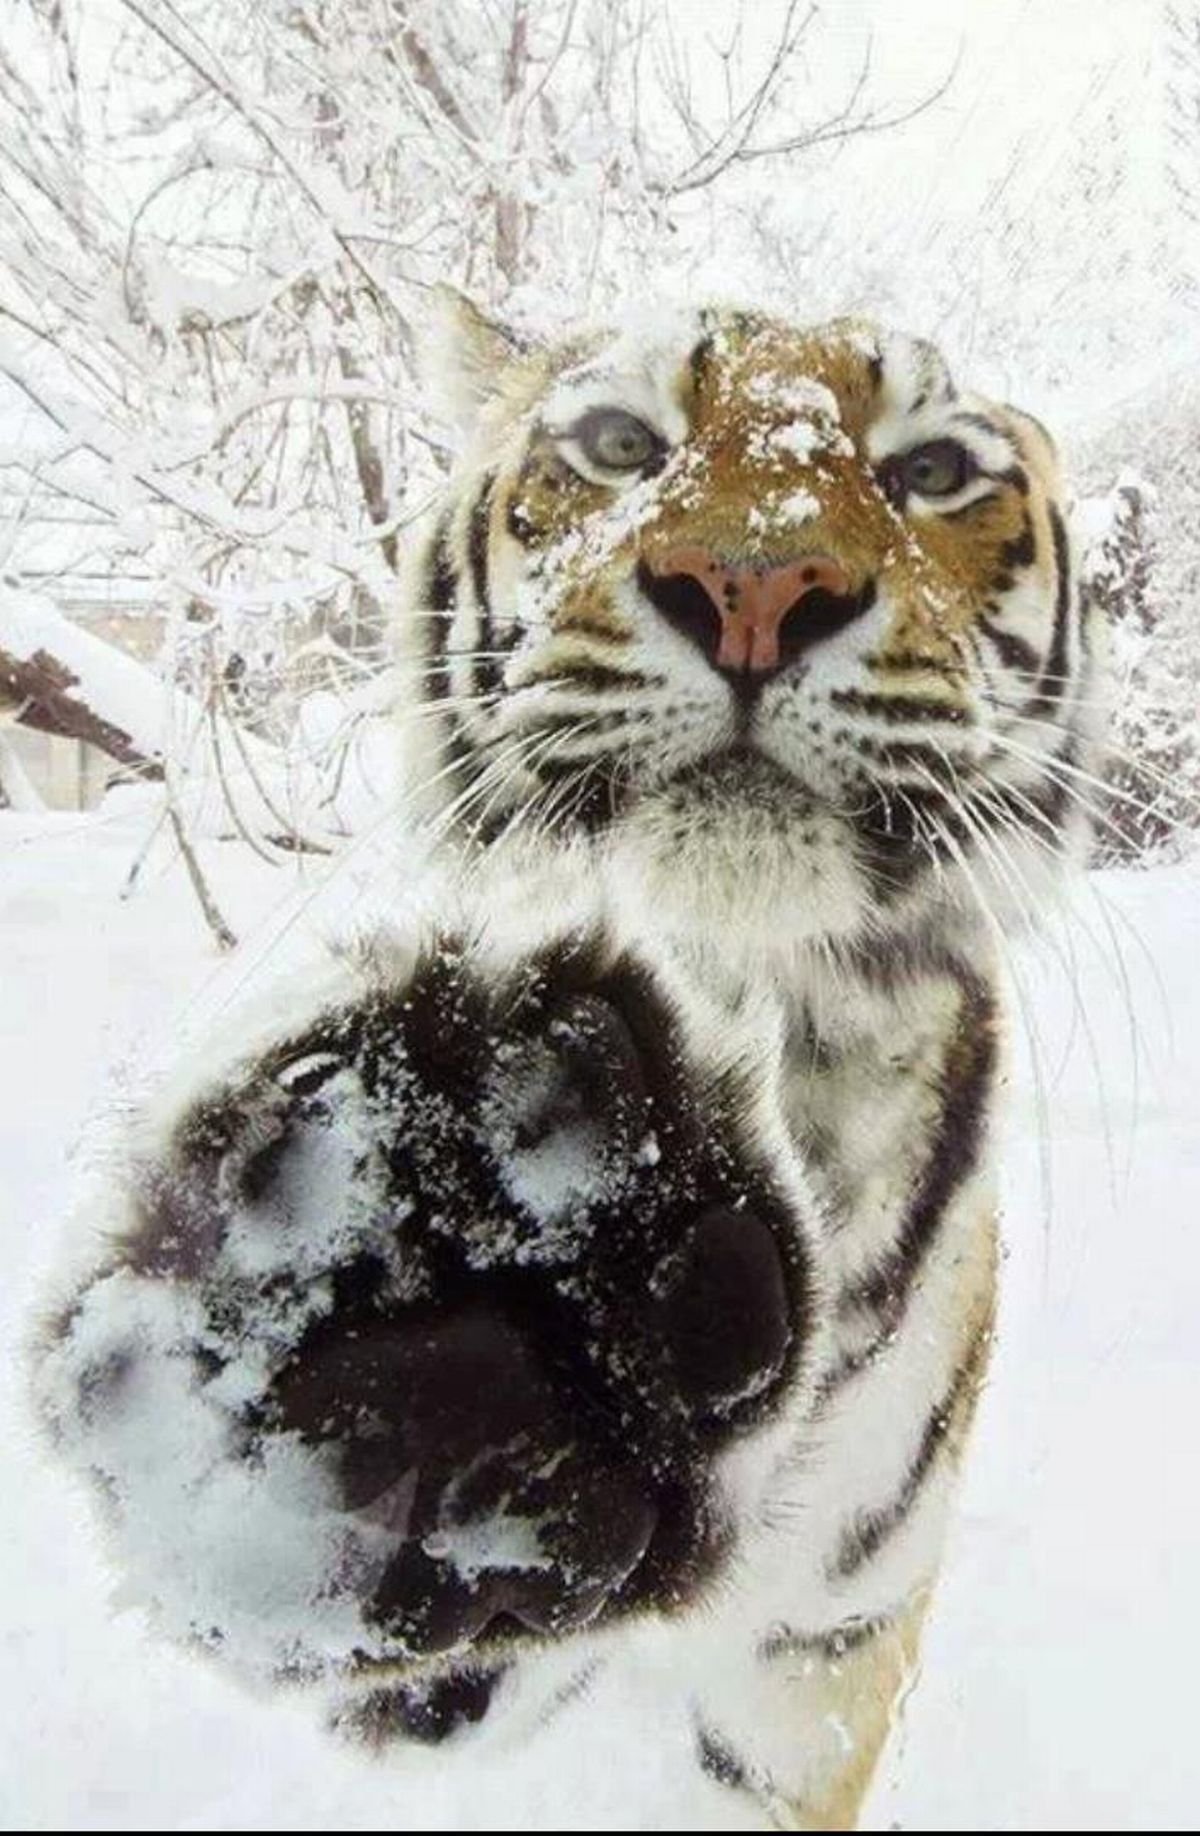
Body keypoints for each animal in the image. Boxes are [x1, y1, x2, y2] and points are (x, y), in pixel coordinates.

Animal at [34, 295, 1104, 1830]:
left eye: (936, 472)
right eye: (617, 443)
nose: (756, 585)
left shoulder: (817, 1659)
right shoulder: (461, 1681)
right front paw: (453, 1267)